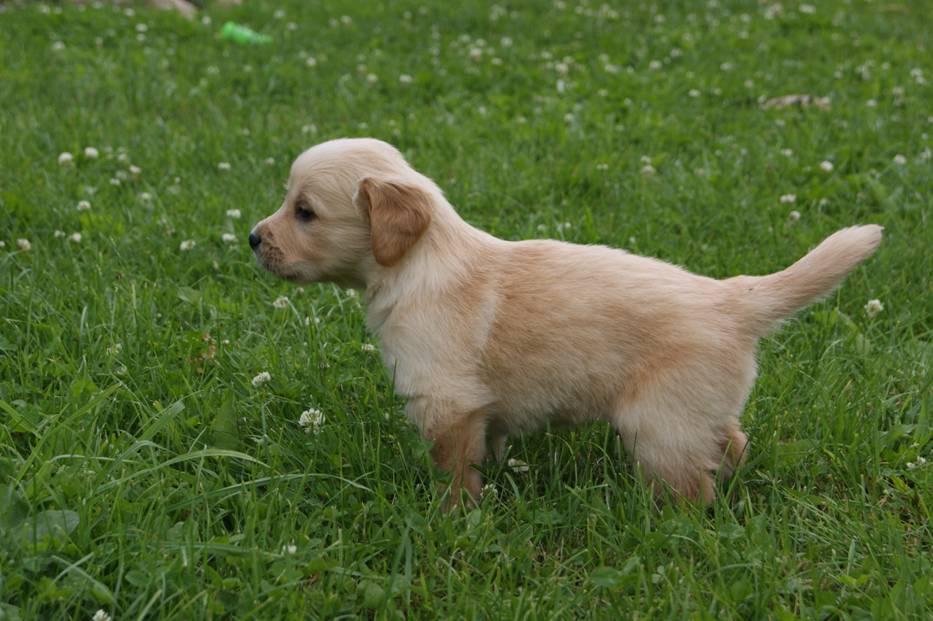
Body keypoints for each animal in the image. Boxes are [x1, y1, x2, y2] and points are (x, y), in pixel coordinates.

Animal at [249, 138, 880, 506]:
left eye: (304, 213)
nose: (253, 238)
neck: (420, 262)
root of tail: (729, 297)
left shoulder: (446, 402)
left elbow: (454, 473)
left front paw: (451, 519)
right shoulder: (478, 410)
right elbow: (488, 449)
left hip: (658, 424)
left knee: (690, 487)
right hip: (696, 409)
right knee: (731, 441)